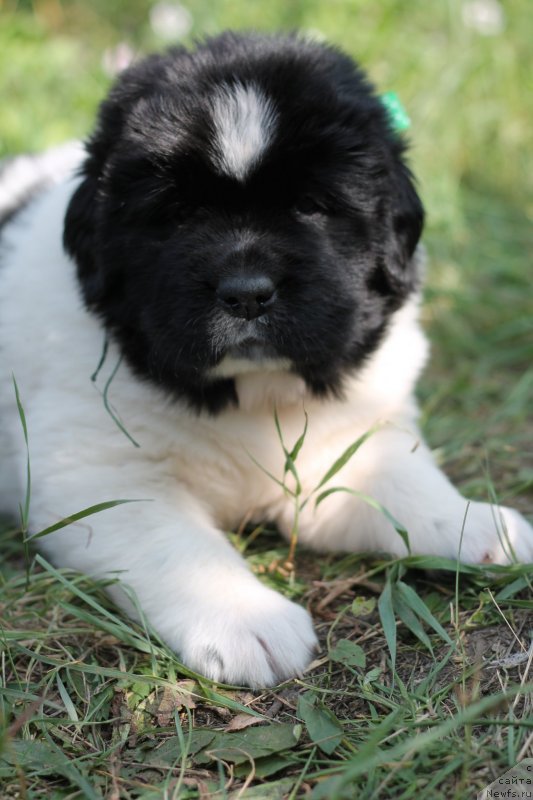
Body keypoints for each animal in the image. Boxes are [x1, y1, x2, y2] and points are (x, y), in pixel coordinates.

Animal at [1, 29, 532, 680]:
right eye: (178, 214)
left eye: (310, 206)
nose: (247, 293)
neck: (252, 392)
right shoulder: (96, 471)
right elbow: (180, 546)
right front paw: (245, 621)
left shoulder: (346, 445)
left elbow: (406, 483)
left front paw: (474, 524)